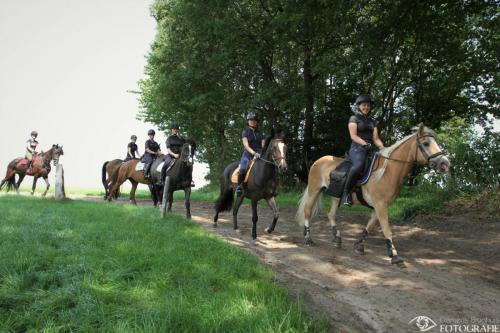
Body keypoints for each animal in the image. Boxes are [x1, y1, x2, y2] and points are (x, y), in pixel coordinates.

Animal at [294, 123, 452, 264]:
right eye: (426, 143)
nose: (445, 164)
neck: (387, 172)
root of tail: (319, 161)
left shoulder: (379, 206)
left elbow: (369, 226)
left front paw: (358, 245)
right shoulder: (380, 205)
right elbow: (387, 230)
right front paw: (395, 256)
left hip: (335, 196)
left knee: (331, 214)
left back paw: (337, 239)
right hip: (314, 189)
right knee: (308, 211)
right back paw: (308, 239)